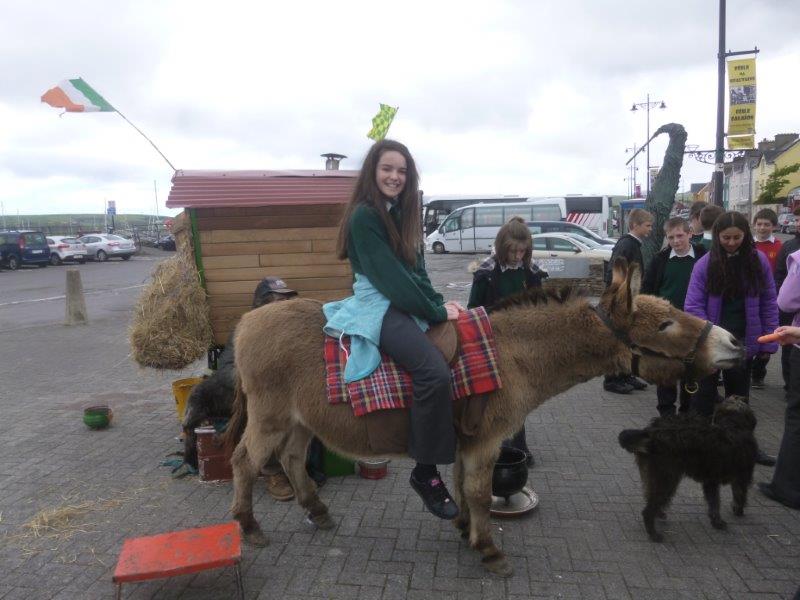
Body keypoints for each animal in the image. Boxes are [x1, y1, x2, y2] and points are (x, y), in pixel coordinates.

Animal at [224, 259, 744, 577]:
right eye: (665, 324)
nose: (734, 343)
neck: (512, 354)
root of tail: (247, 321)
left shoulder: (466, 440)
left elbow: (460, 486)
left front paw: (463, 529)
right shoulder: (486, 439)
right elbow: (476, 491)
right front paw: (488, 549)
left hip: (298, 422)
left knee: (291, 459)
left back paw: (316, 510)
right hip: (270, 417)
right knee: (245, 462)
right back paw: (248, 526)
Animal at [618, 396, 758, 542]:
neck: (733, 425)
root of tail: (652, 432)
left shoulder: (711, 481)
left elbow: (714, 503)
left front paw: (716, 521)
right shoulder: (742, 477)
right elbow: (739, 495)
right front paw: (737, 510)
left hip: (653, 476)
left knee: (650, 496)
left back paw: (659, 513)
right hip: (667, 479)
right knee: (648, 510)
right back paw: (654, 533)